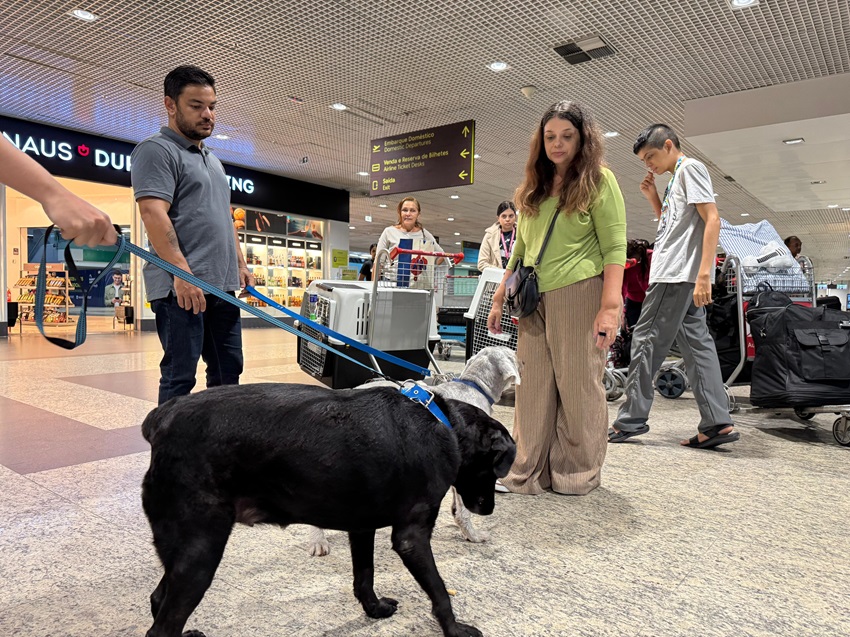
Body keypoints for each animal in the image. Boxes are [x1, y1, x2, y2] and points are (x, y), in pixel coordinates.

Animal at [140, 380, 512, 632]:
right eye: (494, 469)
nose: (490, 510)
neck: (442, 423)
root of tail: (161, 417)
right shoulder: (412, 537)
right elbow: (440, 592)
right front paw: (455, 630)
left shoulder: (361, 528)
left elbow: (364, 576)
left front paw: (374, 610)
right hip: (200, 552)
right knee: (162, 626)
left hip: (184, 552)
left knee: (158, 599)